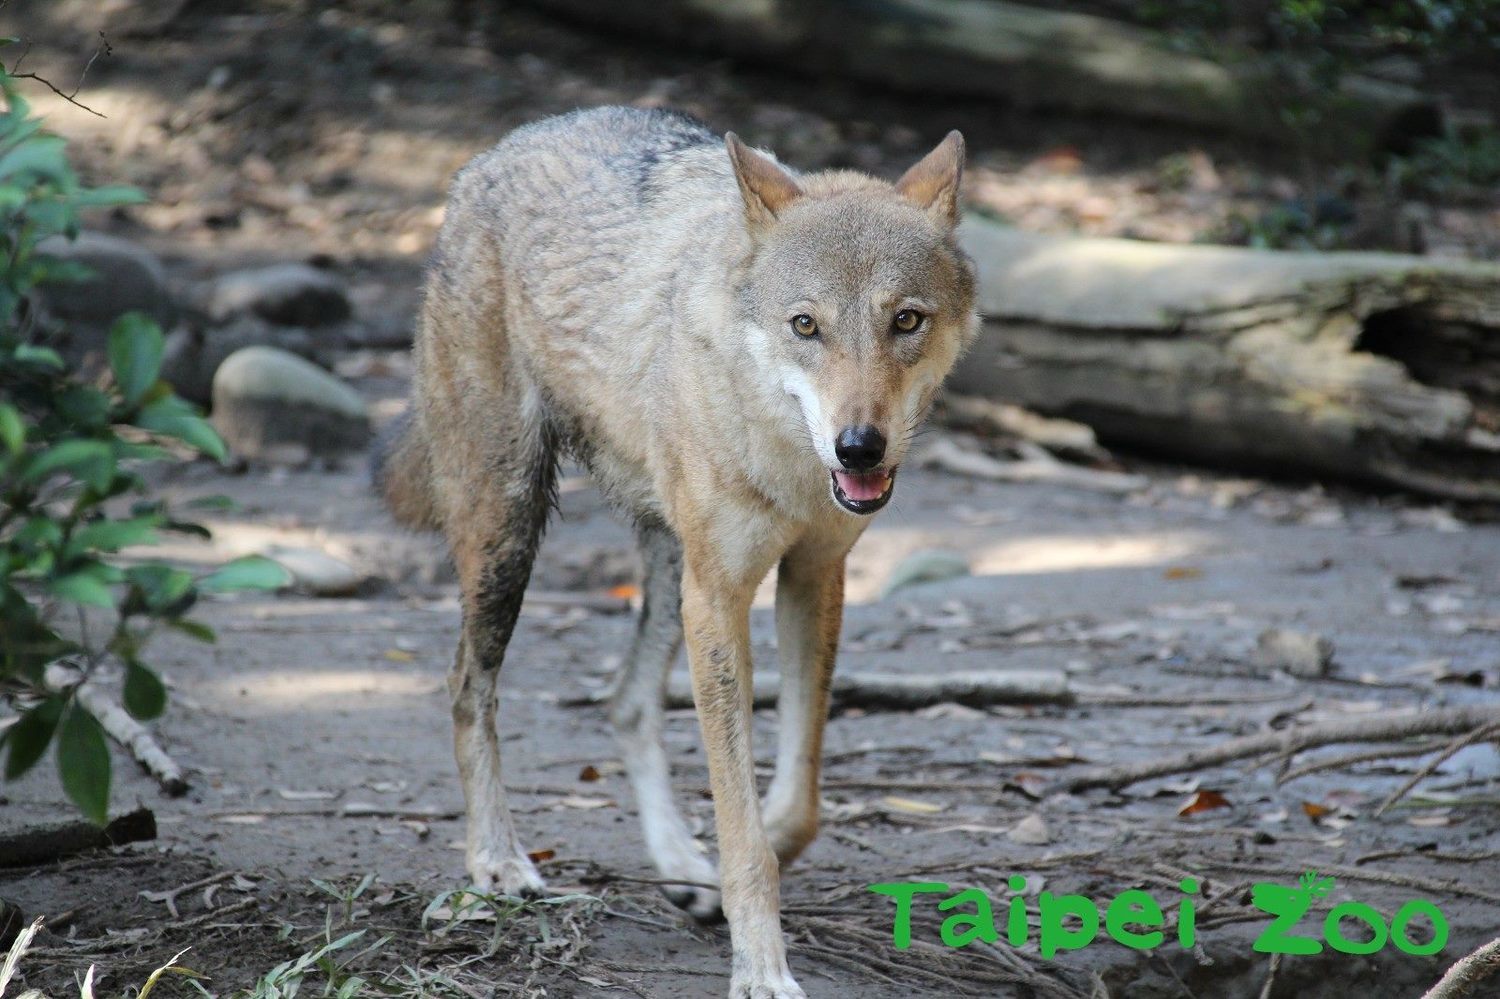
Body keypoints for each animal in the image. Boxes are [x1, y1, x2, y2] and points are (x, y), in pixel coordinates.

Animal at [375, 107, 978, 996]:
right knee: (465, 686)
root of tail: (494, 154)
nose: (859, 447)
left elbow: (796, 798)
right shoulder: (721, 596)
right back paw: (497, 860)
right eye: (806, 325)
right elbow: (742, 821)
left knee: (625, 700)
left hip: (667, 572)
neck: (788, 458)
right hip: (513, 536)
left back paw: (675, 861)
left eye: (906, 320)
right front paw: (760, 965)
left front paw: (725, 865)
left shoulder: (813, 575)